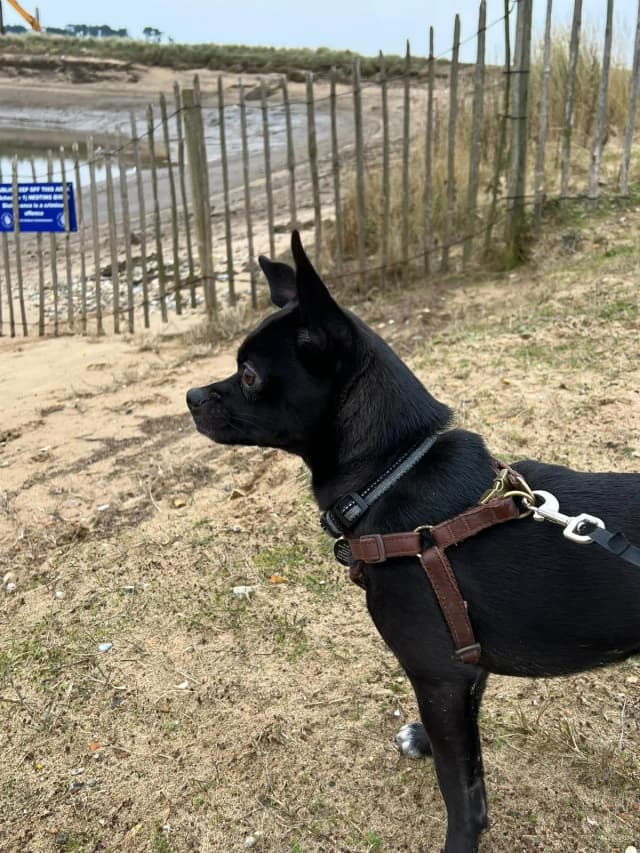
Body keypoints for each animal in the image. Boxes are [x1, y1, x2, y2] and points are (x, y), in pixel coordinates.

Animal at [186, 233, 640, 852]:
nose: (190, 396)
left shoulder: (436, 674)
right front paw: (423, 740)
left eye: (250, 375)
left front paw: (461, 837)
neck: (390, 471)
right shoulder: (458, 666)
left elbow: (461, 788)